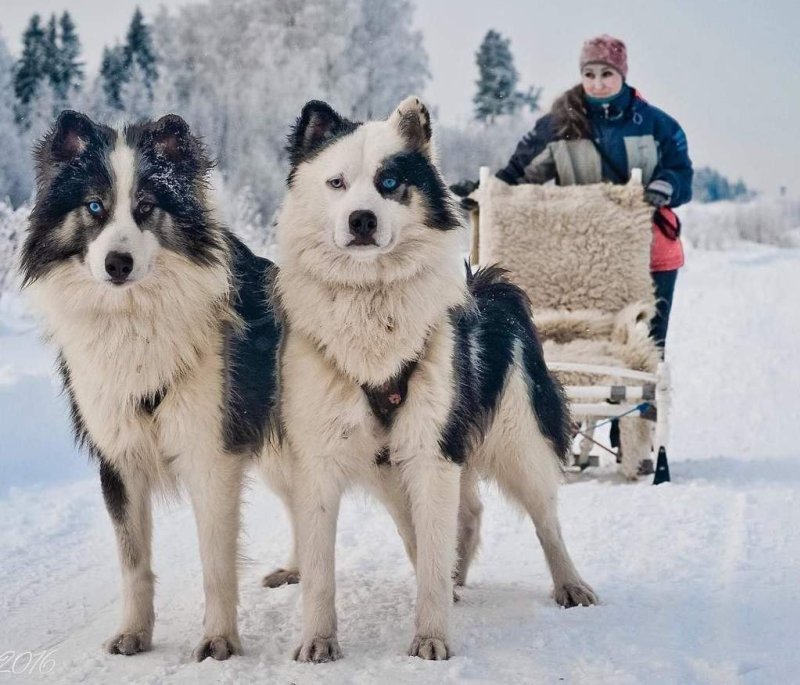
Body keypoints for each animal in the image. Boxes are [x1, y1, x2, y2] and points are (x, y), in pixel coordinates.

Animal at [19, 111, 282, 656]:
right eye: (94, 206)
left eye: (145, 208)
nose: (117, 264)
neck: (133, 320)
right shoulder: (118, 458)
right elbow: (133, 561)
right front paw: (133, 633)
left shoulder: (211, 454)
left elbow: (215, 561)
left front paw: (219, 640)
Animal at [260, 97, 596, 664]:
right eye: (336, 183)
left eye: (390, 182)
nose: (362, 219)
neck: (371, 304)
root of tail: (487, 285)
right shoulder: (319, 459)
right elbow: (321, 569)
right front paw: (318, 640)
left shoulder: (430, 449)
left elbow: (436, 557)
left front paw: (431, 637)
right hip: (395, 470)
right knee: (461, 518)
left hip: (515, 443)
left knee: (544, 519)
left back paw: (569, 583)